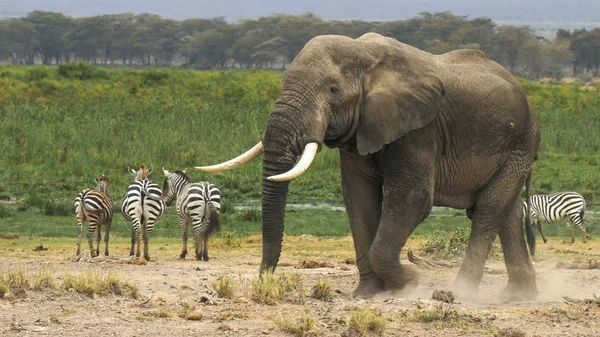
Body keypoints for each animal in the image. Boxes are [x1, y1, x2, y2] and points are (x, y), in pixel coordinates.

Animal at [196, 32, 540, 300]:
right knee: (506, 212)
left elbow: (412, 200)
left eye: (333, 90)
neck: (364, 54)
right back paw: (518, 296)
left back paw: (457, 294)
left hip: (519, 145)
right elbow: (359, 199)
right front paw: (369, 294)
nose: (265, 278)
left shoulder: (419, 130)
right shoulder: (362, 128)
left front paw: (410, 283)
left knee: (486, 212)